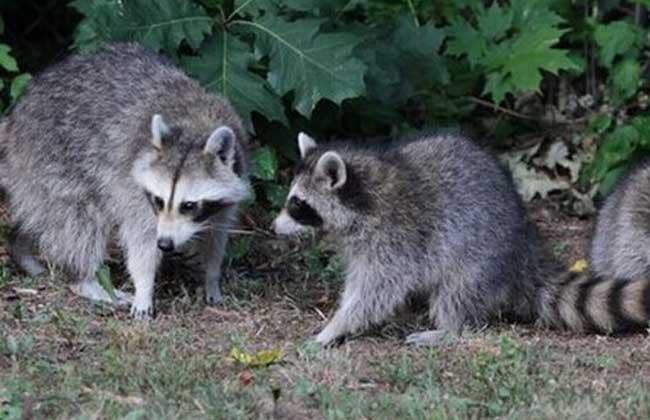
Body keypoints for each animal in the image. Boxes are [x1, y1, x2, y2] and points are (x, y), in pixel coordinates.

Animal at [0, 42, 248, 318]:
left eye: (189, 205)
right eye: (159, 201)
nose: (165, 244)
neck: (194, 126)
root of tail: (14, 121)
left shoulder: (232, 180)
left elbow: (217, 232)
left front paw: (211, 277)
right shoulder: (132, 185)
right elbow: (141, 238)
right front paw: (144, 287)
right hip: (48, 155)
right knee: (79, 220)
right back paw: (85, 280)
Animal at [270, 133, 648, 346]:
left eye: (297, 204)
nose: (273, 228)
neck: (364, 194)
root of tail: (524, 248)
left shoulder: (395, 239)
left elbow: (375, 291)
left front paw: (336, 326)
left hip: (479, 257)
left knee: (456, 292)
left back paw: (449, 329)